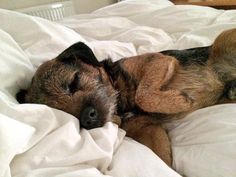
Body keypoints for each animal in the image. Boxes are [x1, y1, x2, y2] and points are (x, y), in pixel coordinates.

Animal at [17, 28, 236, 166]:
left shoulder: (158, 60)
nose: (87, 119)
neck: (122, 103)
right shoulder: (150, 129)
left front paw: (181, 101)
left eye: (74, 81)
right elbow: (163, 160)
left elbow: (143, 95)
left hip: (224, 37)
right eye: (61, 111)